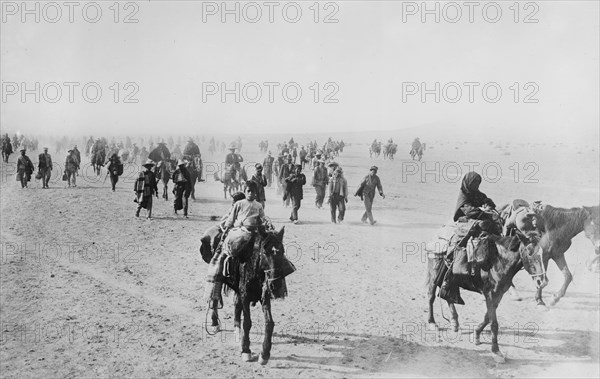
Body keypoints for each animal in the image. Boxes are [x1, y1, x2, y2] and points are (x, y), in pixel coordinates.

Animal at [204, 226, 292, 366]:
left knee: (236, 304)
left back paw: (236, 328)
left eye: (282, 251)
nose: (276, 284)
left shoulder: (264, 296)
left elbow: (269, 322)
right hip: (219, 277)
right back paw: (214, 323)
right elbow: (247, 322)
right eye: (264, 251)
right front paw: (245, 350)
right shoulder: (245, 295)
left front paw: (264, 354)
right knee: (215, 298)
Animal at [426, 232, 548, 360]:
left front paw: (476, 334)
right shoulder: (490, 294)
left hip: (451, 280)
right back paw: (432, 322)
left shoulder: (498, 295)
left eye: (544, 252)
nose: (542, 281)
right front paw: (496, 351)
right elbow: (494, 323)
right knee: (431, 296)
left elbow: (487, 317)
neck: (498, 262)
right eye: (529, 253)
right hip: (434, 276)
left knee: (448, 295)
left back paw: (454, 322)